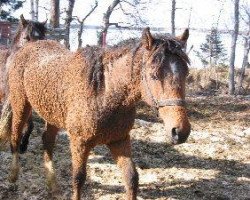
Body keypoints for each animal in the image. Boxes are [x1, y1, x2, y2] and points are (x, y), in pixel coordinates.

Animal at [6, 27, 190, 199]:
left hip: (51, 113)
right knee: (15, 135)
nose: (180, 132)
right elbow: (78, 178)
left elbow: (131, 178)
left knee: (47, 141)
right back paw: (13, 177)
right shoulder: (79, 142)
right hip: (21, 104)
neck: (105, 93)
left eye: (186, 73)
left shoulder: (119, 140)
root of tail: (28, 47)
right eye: (153, 75)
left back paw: (53, 185)